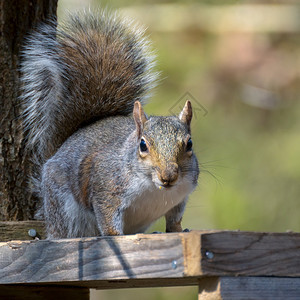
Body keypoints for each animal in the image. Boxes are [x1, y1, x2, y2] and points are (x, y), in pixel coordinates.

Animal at [21, 9, 199, 239]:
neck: (153, 188)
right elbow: (107, 215)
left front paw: (179, 230)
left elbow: (174, 219)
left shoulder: (180, 198)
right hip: (63, 211)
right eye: (143, 145)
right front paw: (114, 235)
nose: (168, 176)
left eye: (189, 144)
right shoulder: (105, 187)